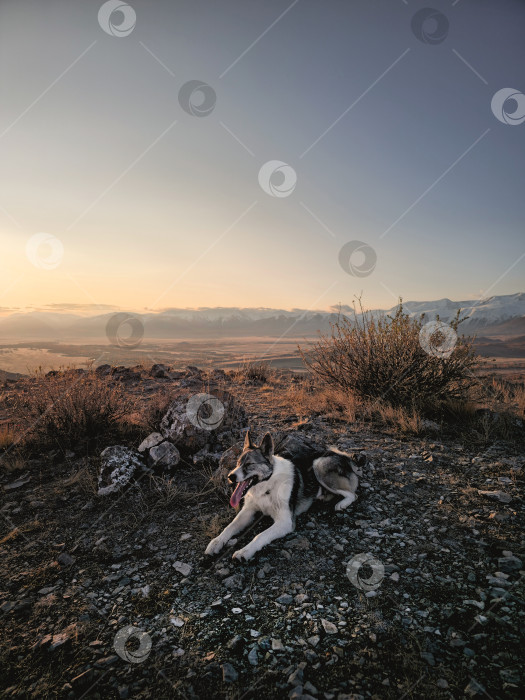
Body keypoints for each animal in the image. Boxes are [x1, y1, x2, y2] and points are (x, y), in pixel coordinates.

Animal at [205, 430, 364, 560]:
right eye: (238, 463)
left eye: (249, 464)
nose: (230, 477)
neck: (267, 485)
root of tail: (342, 455)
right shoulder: (248, 511)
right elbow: (230, 526)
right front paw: (216, 542)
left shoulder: (285, 522)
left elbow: (260, 535)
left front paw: (245, 551)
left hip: (319, 464)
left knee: (353, 494)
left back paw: (341, 504)